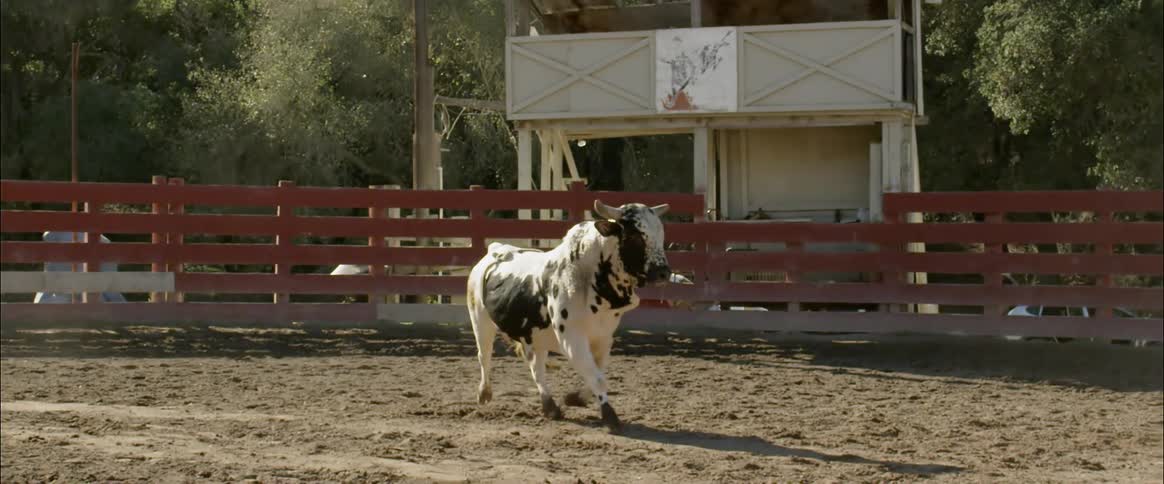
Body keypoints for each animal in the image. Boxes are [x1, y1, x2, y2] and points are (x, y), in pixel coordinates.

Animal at [465, 199, 671, 433]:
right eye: (636, 235)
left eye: (661, 235)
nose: (663, 272)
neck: (589, 280)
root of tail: (496, 249)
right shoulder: (572, 339)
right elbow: (597, 378)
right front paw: (610, 416)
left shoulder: (604, 338)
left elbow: (598, 371)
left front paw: (576, 398)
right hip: (480, 322)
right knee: (484, 356)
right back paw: (484, 392)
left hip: (534, 338)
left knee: (536, 367)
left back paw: (549, 405)